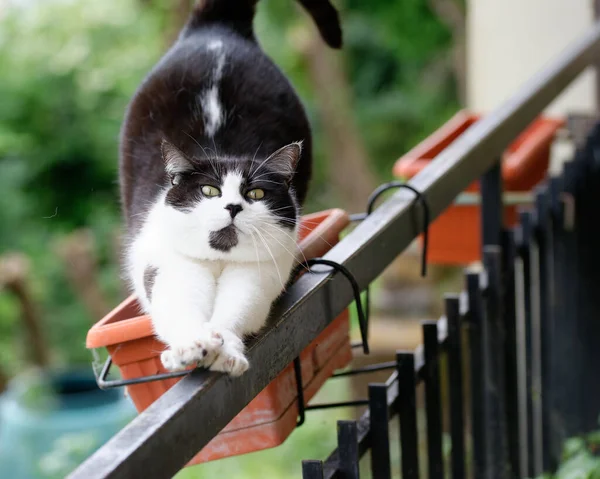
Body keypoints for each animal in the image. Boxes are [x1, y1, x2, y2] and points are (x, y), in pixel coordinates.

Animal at [119, 0, 342, 376]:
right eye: (209, 191)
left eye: (256, 194)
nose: (233, 207)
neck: (219, 261)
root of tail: (217, 27)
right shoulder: (169, 266)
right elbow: (177, 308)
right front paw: (189, 347)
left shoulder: (258, 273)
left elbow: (237, 311)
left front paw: (226, 351)